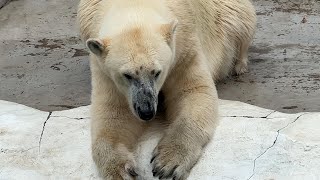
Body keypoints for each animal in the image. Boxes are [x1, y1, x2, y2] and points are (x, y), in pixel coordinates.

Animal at [76, 0, 256, 179]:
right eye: (127, 75)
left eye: (157, 72)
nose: (146, 111)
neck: (134, 6)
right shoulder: (103, 68)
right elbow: (115, 113)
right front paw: (120, 169)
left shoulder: (184, 46)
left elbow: (193, 91)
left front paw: (168, 161)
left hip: (227, 15)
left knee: (243, 25)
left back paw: (239, 66)